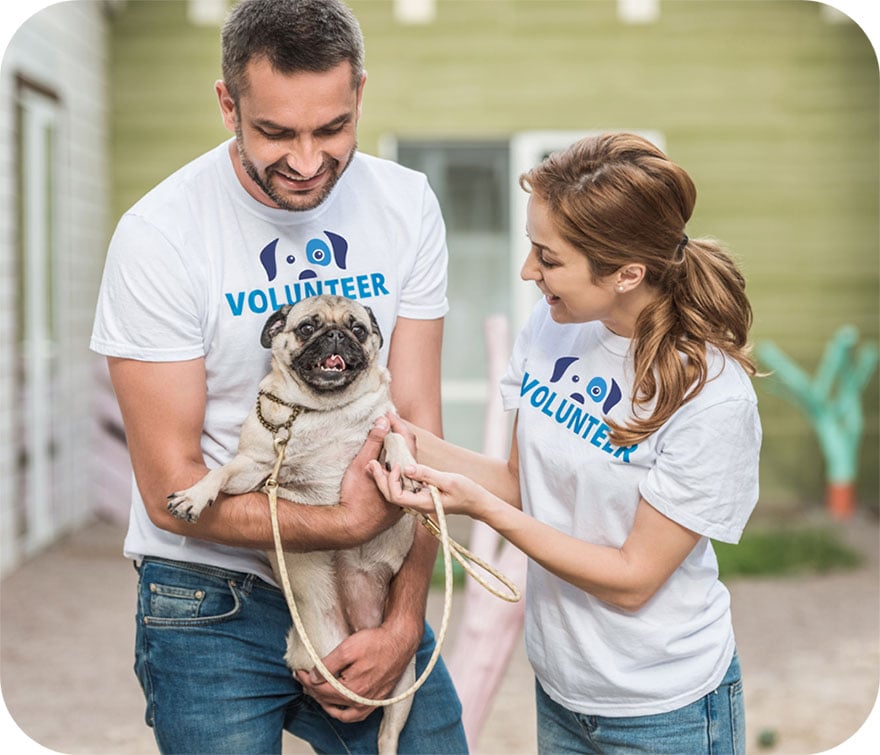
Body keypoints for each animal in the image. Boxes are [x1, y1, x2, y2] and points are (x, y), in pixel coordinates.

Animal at [169, 296, 422, 755]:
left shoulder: (386, 426)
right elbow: (221, 471)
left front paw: (405, 467)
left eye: (358, 329)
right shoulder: (253, 469)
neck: (325, 411)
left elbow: (394, 436)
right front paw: (195, 495)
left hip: (405, 684)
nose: (336, 334)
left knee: (387, 733)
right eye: (307, 328)